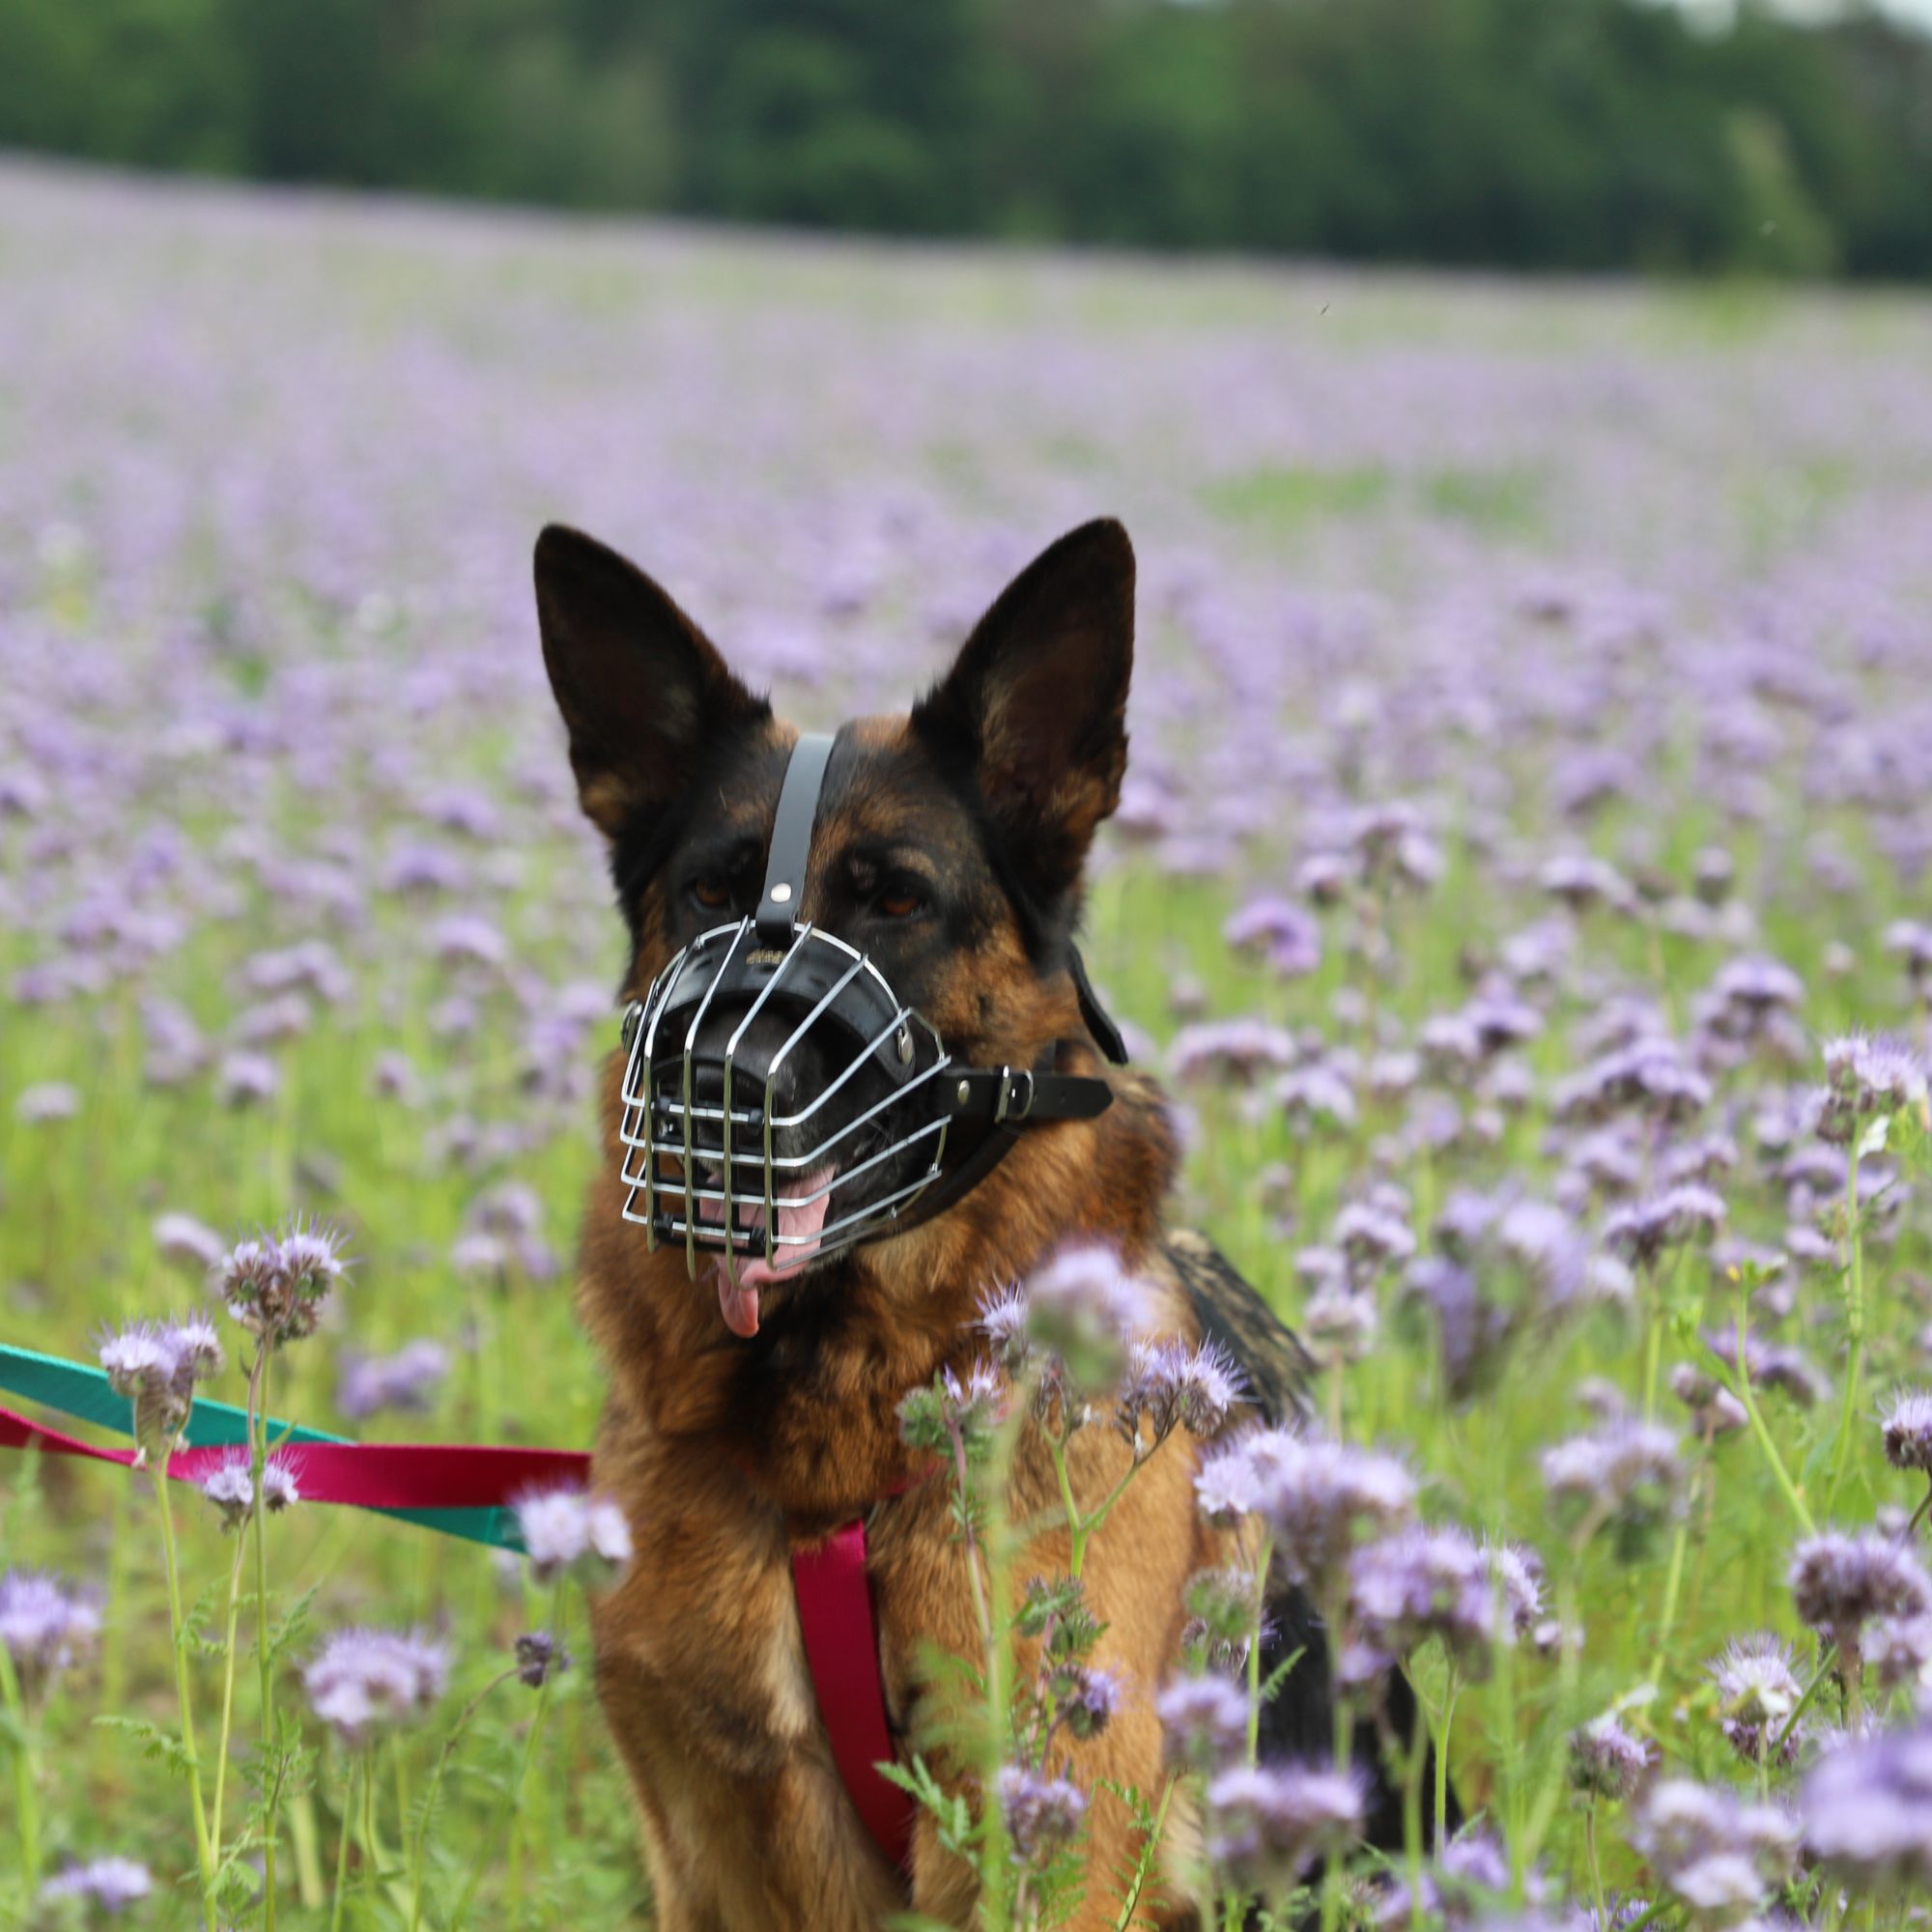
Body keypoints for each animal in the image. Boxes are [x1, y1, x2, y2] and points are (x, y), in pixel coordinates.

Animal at [535, 518, 1418, 1930]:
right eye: (712, 892)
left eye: (896, 898)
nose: (710, 1082)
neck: (820, 1462)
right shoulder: (708, 1845)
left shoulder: (1052, 1836)